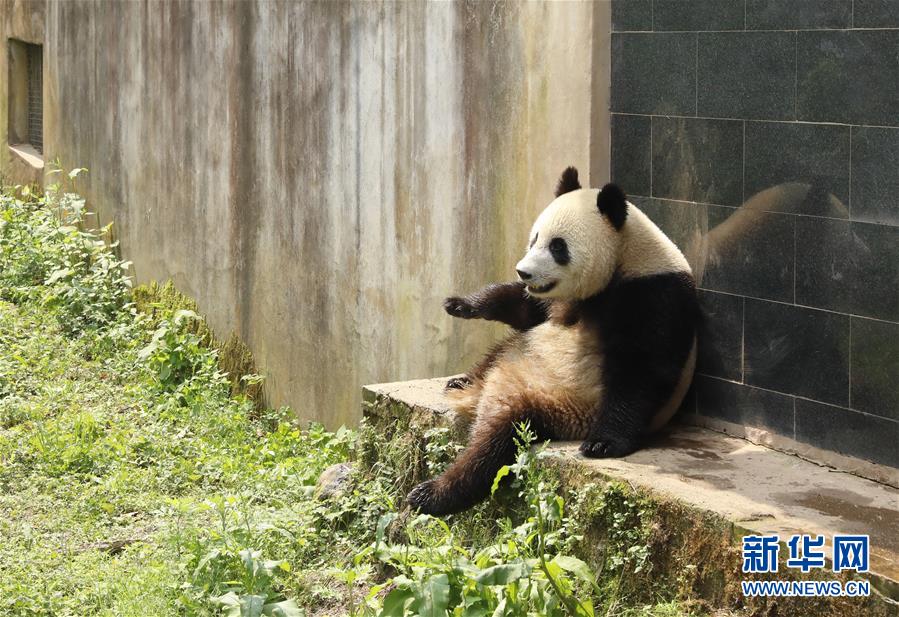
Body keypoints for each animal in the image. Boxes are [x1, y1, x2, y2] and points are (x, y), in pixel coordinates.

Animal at [407, 167, 701, 516]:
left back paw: (433, 493)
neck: (625, 256)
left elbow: (642, 371)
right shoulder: (556, 300)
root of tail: (488, 392)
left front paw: (603, 443)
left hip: (553, 406)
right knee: (503, 349)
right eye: (535, 238)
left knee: (495, 445)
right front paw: (461, 304)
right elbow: (526, 310)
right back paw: (462, 382)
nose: (523, 272)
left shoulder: (655, 295)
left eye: (558, 247)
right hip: (519, 353)